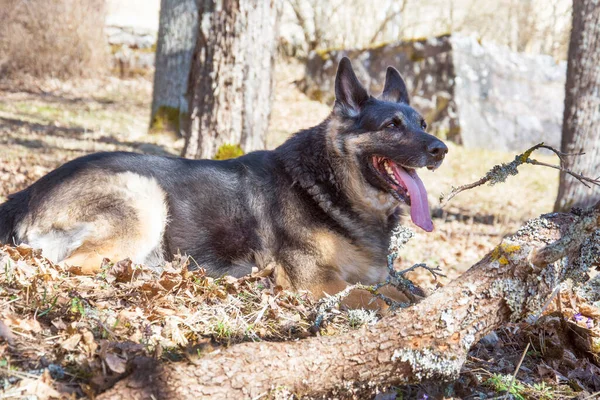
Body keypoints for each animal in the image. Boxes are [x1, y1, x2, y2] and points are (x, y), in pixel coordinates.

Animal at [0, 58, 446, 310]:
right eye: (392, 126)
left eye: (423, 123)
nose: (441, 150)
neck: (330, 187)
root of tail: (26, 193)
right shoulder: (315, 282)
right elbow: (379, 298)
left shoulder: (375, 274)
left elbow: (410, 291)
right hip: (145, 196)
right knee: (75, 266)